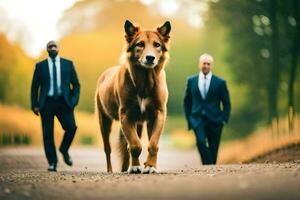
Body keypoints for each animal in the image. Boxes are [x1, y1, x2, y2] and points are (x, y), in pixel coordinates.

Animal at [96, 20, 171, 173]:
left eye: (157, 45)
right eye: (140, 44)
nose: (150, 58)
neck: (145, 81)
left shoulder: (158, 113)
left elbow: (153, 144)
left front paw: (150, 167)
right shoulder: (126, 114)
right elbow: (135, 145)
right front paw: (135, 167)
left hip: (140, 123)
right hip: (104, 121)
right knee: (108, 148)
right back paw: (111, 170)